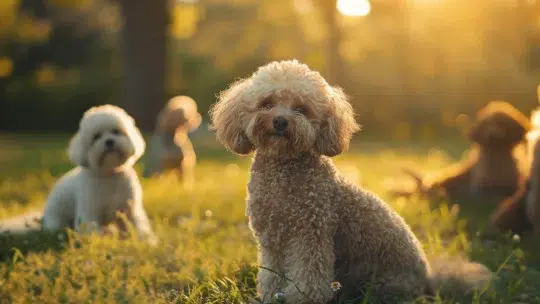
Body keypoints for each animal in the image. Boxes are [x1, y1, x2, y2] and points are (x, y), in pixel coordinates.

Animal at [41, 104, 156, 242]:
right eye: (96, 136)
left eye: (116, 131)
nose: (109, 141)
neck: (110, 174)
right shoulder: (90, 213)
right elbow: (92, 230)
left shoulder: (130, 210)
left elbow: (137, 227)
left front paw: (145, 241)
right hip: (57, 220)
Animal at [390, 101, 528, 202]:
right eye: (486, 124)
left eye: (501, 123)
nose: (492, 134)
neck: (497, 157)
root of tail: (427, 182)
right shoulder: (481, 188)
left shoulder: (511, 184)